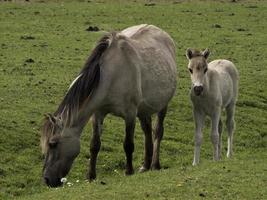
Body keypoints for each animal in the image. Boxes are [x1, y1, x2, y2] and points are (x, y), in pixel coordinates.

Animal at [40, 24, 178, 188]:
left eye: (53, 144)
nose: (47, 179)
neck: (112, 74)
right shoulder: (98, 113)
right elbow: (94, 145)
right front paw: (91, 176)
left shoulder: (130, 113)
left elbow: (128, 144)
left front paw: (128, 171)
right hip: (144, 109)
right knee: (147, 130)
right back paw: (145, 165)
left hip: (162, 105)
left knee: (158, 132)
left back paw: (155, 164)